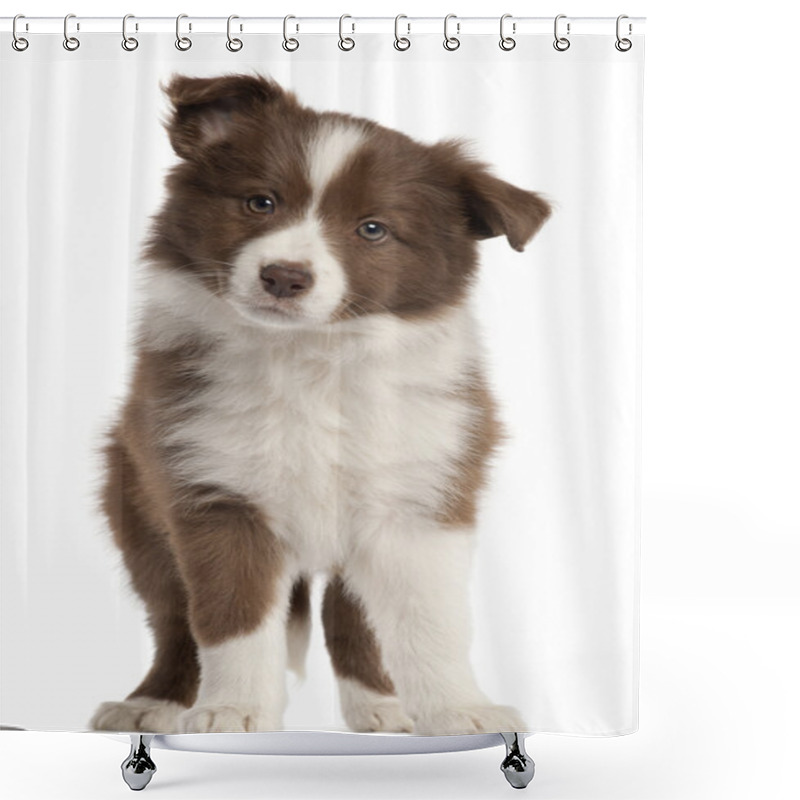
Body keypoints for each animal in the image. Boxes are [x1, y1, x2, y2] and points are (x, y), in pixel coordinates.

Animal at [89, 75, 552, 736]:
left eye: (373, 229)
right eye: (260, 202)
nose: (284, 276)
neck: (313, 359)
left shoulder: (420, 498)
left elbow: (431, 622)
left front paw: (460, 709)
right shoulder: (213, 494)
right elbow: (232, 618)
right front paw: (233, 711)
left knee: (349, 616)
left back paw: (381, 709)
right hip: (135, 504)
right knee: (174, 619)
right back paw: (153, 702)